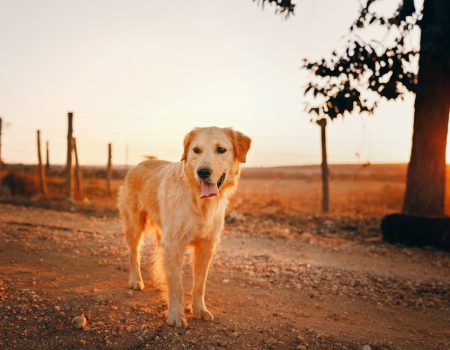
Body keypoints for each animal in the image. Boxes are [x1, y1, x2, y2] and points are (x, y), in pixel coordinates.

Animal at [117, 127, 250, 326]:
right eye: (196, 150)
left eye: (221, 150)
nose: (203, 172)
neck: (200, 202)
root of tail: (140, 164)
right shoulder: (174, 244)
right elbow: (177, 286)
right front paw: (176, 315)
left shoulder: (206, 246)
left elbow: (199, 285)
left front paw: (199, 310)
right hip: (135, 225)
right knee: (134, 253)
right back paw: (136, 281)